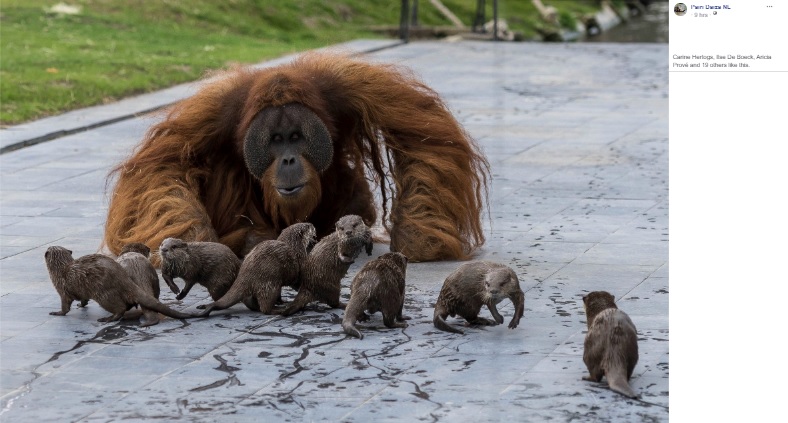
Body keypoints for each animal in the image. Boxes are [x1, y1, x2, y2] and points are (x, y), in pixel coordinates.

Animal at [45, 247, 199, 322]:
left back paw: (108, 319)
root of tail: (124, 279)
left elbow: (65, 305)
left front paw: (57, 312)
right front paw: (81, 305)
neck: (61, 269)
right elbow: (83, 299)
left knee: (120, 308)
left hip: (103, 294)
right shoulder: (81, 291)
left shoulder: (62, 289)